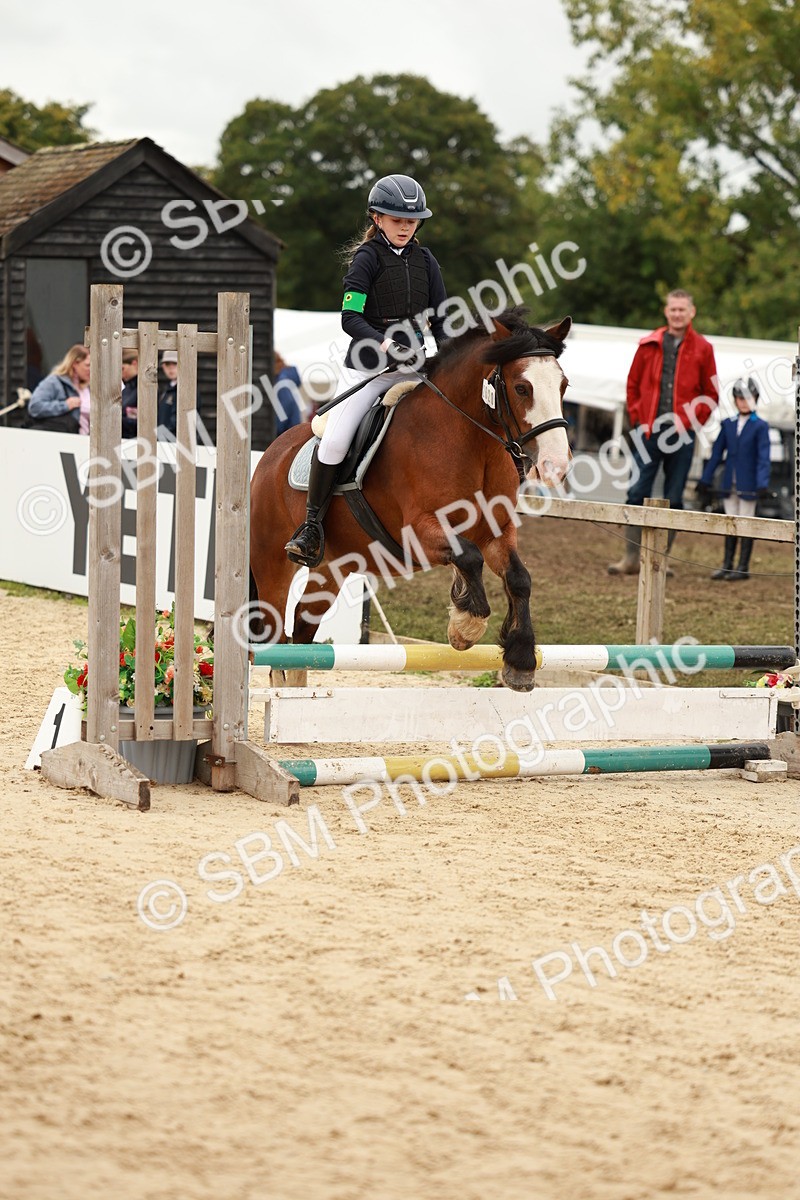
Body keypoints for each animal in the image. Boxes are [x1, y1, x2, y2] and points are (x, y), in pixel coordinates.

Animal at [250, 308, 572, 691]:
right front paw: (465, 627)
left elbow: (519, 577)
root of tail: (271, 453)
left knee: (300, 628)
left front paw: (520, 659)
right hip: (272, 562)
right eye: (523, 387)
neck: (471, 441)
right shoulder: (417, 532)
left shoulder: (497, 531)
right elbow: (469, 556)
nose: (557, 465)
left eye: (564, 385)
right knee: (275, 636)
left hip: (333, 567)